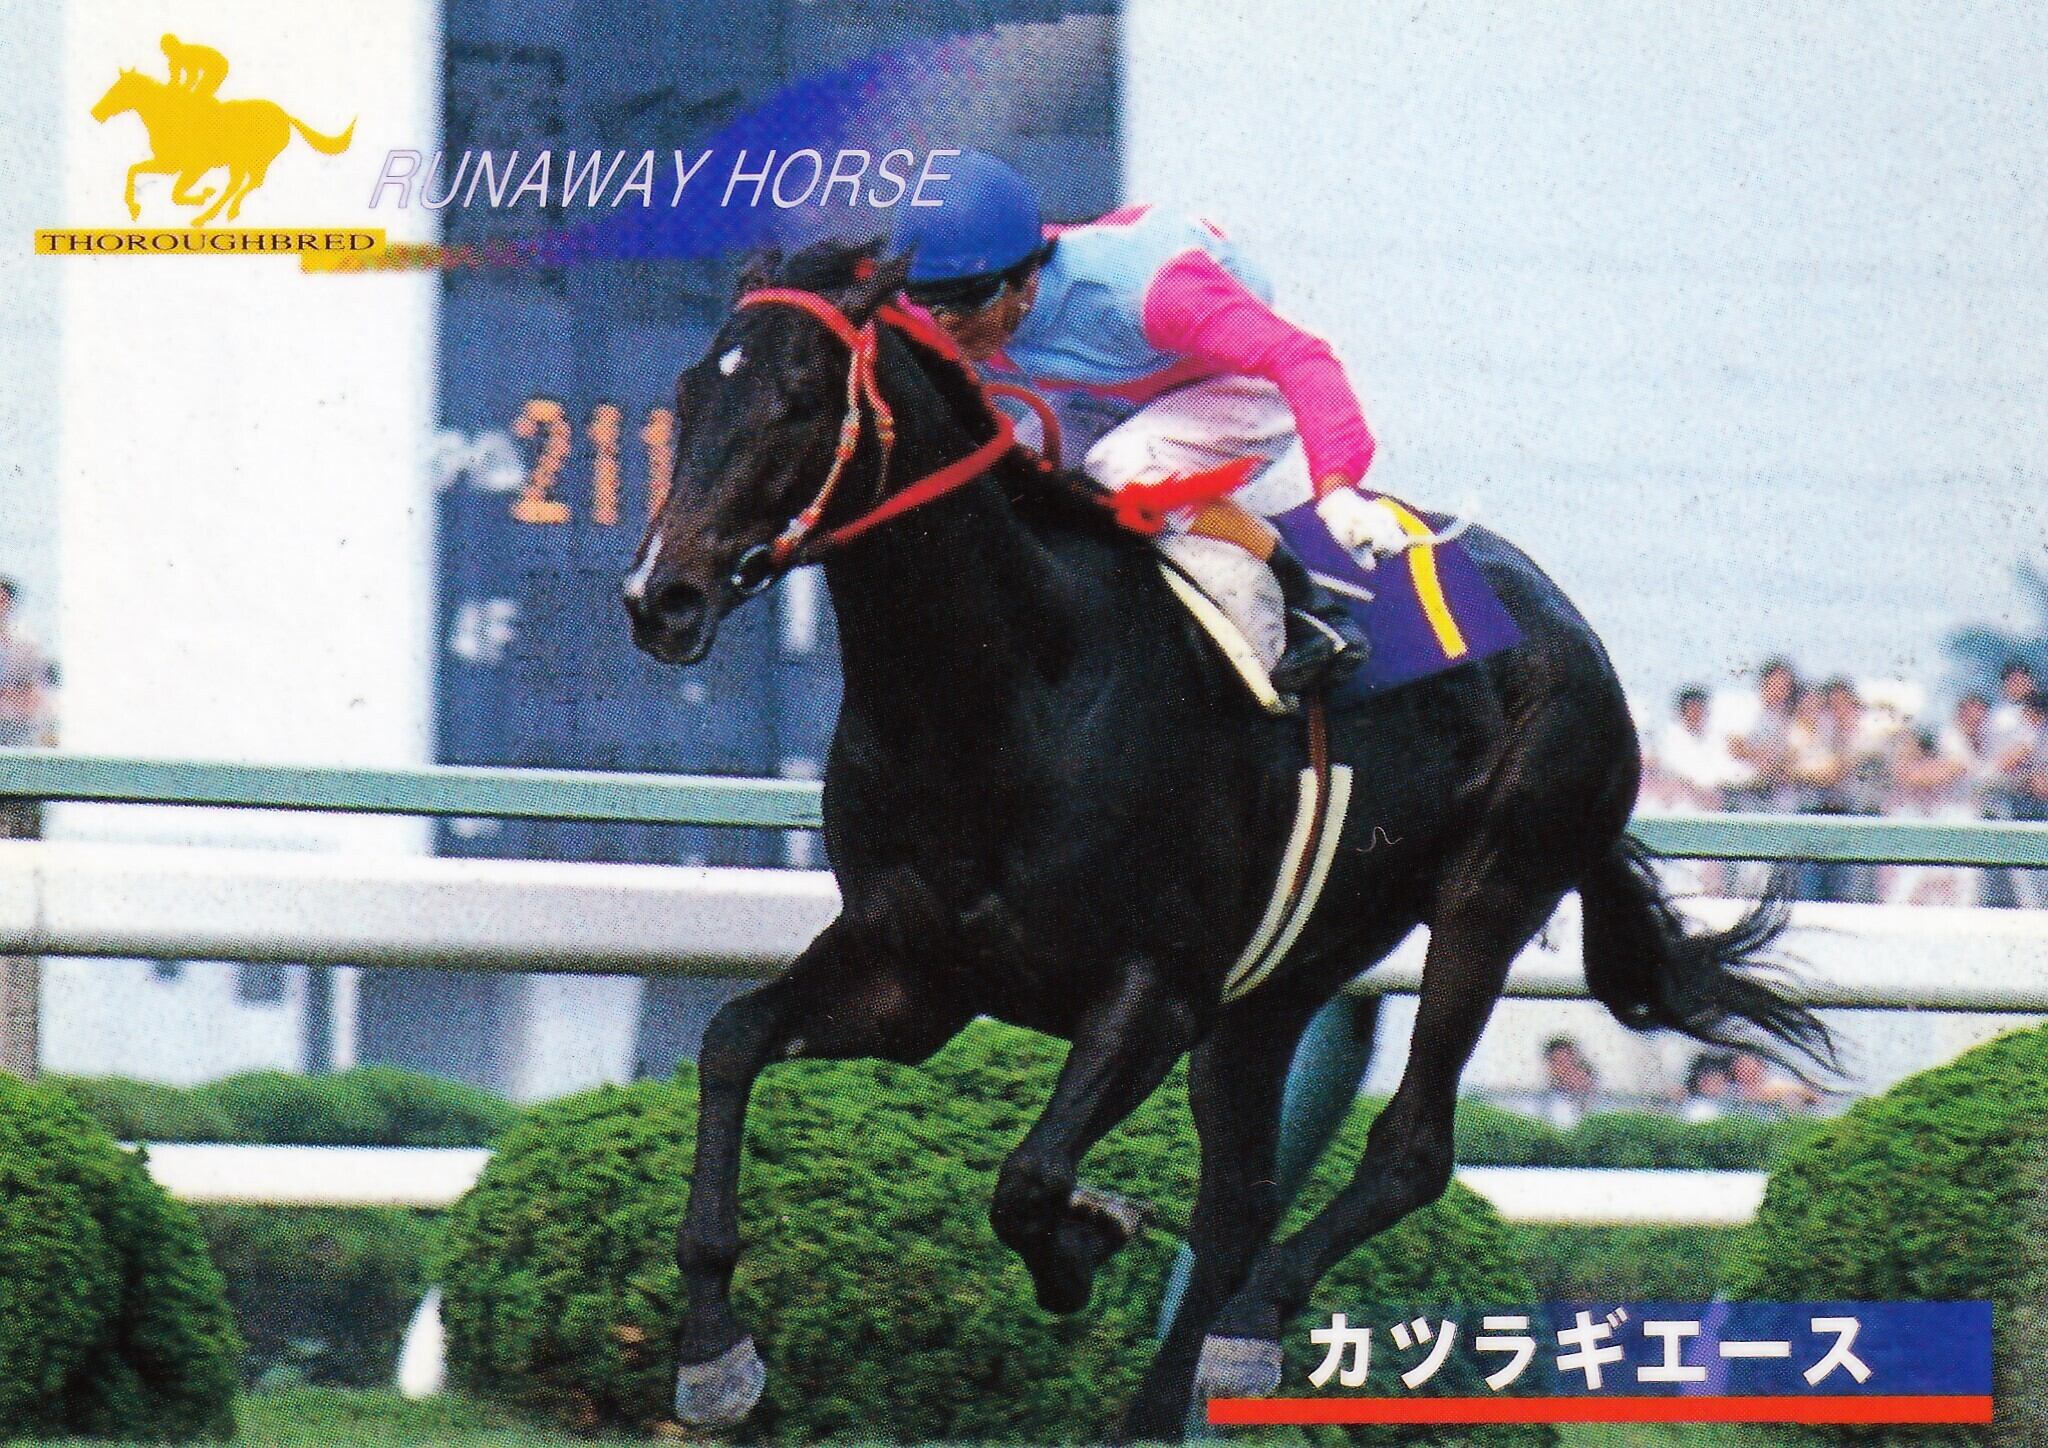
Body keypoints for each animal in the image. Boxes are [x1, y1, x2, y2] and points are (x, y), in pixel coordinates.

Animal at [89, 69, 354, 228]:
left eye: (119, 90)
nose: (95, 113)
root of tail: (286, 117)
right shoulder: (168, 164)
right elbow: (134, 170)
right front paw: (134, 209)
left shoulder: (195, 167)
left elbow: (176, 194)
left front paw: (202, 195)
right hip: (243, 161)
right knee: (240, 184)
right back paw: (217, 214)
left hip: (254, 160)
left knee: (246, 184)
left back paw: (210, 215)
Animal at [622, 238, 1833, 1441]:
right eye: (687, 392)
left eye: (795, 399)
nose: (658, 596)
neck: (1005, 693)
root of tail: (1569, 626)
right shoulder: (916, 972)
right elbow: (731, 1038)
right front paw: (711, 1348)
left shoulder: (1153, 987)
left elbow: (1027, 1178)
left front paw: (1085, 1235)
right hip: (1287, 971)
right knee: (1241, 1196)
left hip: (1491, 891)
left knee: (1405, 1151)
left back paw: (1251, 1318)